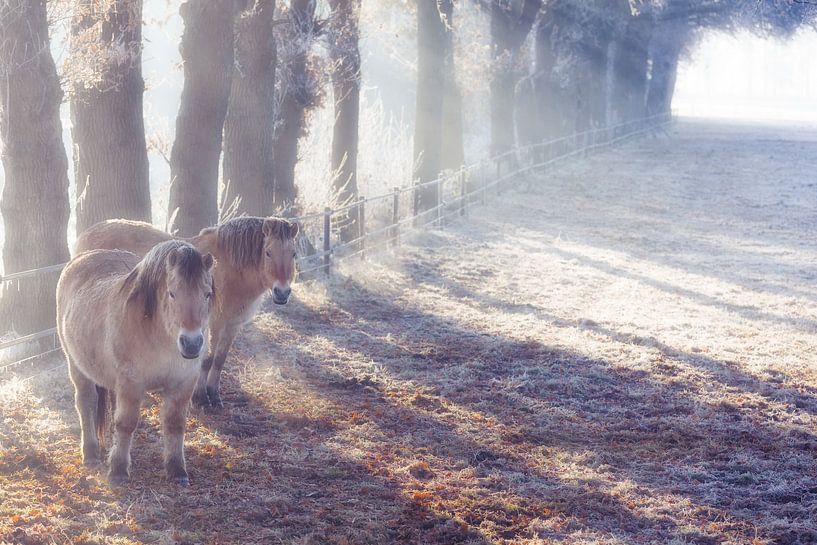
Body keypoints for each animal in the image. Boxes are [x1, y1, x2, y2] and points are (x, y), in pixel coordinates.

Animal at [58, 240, 217, 482]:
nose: (191, 344)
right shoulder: (131, 383)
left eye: (207, 294)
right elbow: (126, 423)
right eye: (172, 293)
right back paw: (91, 454)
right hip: (76, 365)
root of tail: (80, 259)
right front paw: (118, 471)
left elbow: (175, 424)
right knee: (86, 403)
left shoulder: (183, 383)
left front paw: (176, 469)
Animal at [75, 216, 300, 408]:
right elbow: (207, 360)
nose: (282, 293)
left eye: (294, 253)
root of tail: (84, 236)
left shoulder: (232, 325)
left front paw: (214, 395)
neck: (229, 268)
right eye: (268, 252)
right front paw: (200, 398)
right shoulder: (212, 325)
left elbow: (220, 360)